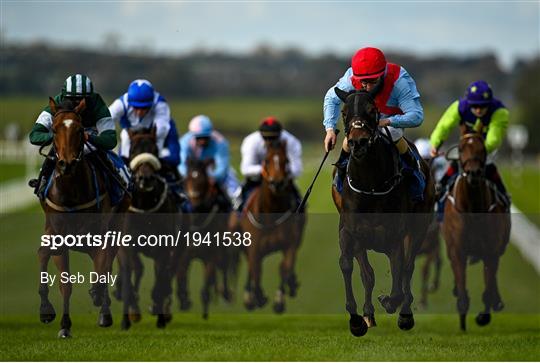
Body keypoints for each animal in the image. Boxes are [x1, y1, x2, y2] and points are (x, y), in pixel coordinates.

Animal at [37, 96, 130, 338]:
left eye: (79, 130)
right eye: (54, 128)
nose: (66, 163)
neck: (72, 191)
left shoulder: (101, 233)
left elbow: (102, 267)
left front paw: (99, 298)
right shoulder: (58, 233)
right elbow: (64, 282)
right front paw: (62, 324)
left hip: (117, 222)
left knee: (106, 264)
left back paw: (103, 307)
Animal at [116, 128, 179, 330]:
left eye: (155, 149)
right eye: (133, 149)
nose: (146, 179)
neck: (145, 206)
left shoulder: (164, 247)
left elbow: (160, 279)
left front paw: (160, 318)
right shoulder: (126, 245)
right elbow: (129, 274)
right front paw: (127, 319)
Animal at [238, 139, 306, 312]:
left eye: (286, 160)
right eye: (267, 160)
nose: (277, 182)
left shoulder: (289, 244)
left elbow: (285, 267)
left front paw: (279, 299)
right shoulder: (254, 248)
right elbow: (256, 271)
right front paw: (258, 296)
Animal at [332, 89, 436, 338]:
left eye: (372, 110)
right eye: (344, 111)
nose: (358, 142)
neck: (370, 186)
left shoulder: (395, 236)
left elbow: (400, 273)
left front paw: (391, 303)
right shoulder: (350, 232)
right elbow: (351, 267)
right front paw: (357, 319)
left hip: (419, 229)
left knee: (408, 268)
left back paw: (405, 312)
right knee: (369, 274)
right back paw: (369, 314)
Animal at [442, 132, 510, 332]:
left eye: (483, 149)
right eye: (461, 148)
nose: (473, 173)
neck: (472, 209)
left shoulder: (491, 251)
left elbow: (489, 283)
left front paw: (483, 315)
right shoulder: (457, 250)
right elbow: (462, 288)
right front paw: (462, 319)